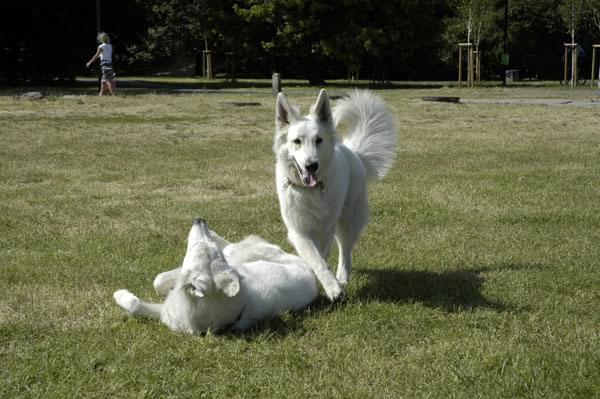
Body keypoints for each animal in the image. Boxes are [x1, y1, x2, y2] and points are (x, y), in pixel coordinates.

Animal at [113, 219, 318, 334]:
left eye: (198, 247)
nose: (200, 219)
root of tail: (311, 271)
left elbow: (155, 284)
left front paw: (119, 294)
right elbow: (142, 298)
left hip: (236, 252)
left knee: (229, 245)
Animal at [274, 89, 396, 302]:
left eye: (318, 140)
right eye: (297, 141)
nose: (311, 166)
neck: (310, 192)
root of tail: (354, 152)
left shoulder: (325, 230)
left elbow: (321, 259)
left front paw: (333, 288)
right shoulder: (299, 232)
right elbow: (316, 260)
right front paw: (328, 286)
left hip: (347, 220)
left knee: (345, 250)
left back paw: (343, 277)